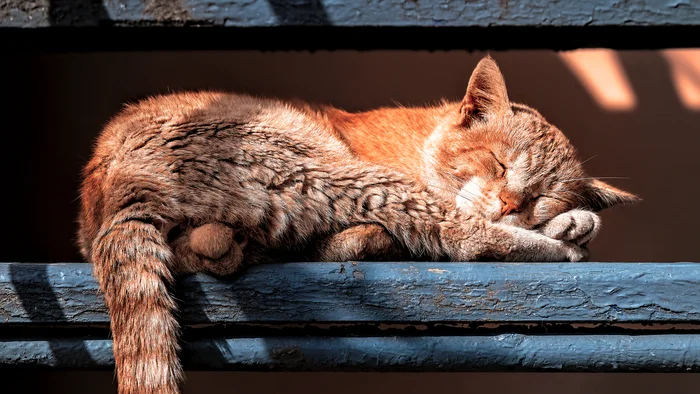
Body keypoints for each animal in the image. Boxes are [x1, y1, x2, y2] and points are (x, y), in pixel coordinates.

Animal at [78, 56, 640, 394]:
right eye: (499, 164)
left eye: (542, 195)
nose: (509, 205)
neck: (424, 140)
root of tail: (118, 183)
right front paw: (568, 229)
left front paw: (568, 219)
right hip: (327, 167)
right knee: (460, 236)